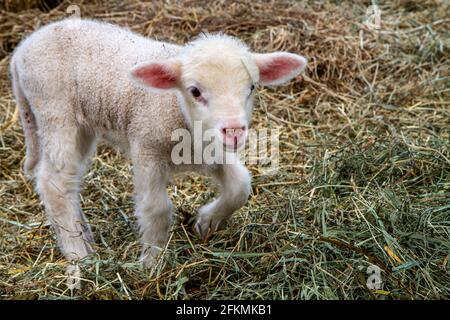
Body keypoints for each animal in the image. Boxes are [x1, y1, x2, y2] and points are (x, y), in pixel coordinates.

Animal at [10, 18, 308, 266]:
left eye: (252, 87)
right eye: (195, 91)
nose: (234, 131)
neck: (179, 112)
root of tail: (21, 49)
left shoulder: (211, 150)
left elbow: (240, 186)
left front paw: (206, 222)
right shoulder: (147, 148)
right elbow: (157, 209)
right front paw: (152, 263)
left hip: (82, 126)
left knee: (69, 182)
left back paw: (86, 239)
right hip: (55, 111)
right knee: (55, 182)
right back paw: (79, 255)